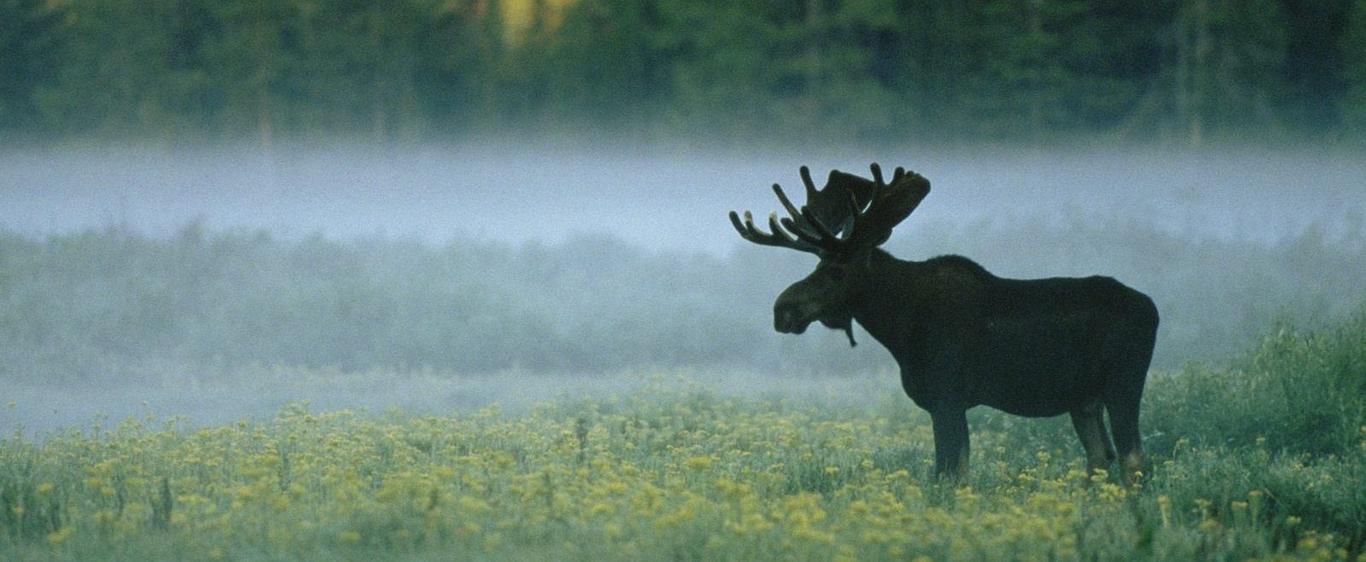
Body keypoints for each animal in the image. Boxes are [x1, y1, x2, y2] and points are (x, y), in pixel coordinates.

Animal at [732, 164, 1158, 481]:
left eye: (837, 270)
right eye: (816, 265)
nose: (782, 310)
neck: (897, 325)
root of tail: (1153, 309)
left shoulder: (947, 397)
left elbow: (950, 475)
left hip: (1123, 383)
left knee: (1133, 457)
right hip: (1083, 399)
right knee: (1100, 457)